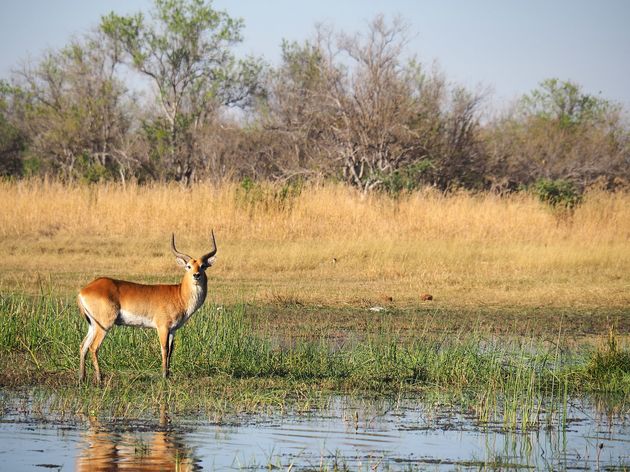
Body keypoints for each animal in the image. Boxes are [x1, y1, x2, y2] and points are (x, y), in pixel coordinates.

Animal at [77, 232, 217, 384]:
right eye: (188, 266)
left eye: (203, 266)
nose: (196, 275)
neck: (179, 294)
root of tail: (84, 290)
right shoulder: (162, 327)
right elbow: (164, 349)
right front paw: (164, 376)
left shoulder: (173, 330)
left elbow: (171, 350)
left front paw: (168, 374)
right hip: (104, 325)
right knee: (93, 347)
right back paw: (99, 379)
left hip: (93, 325)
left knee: (83, 346)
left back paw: (82, 378)